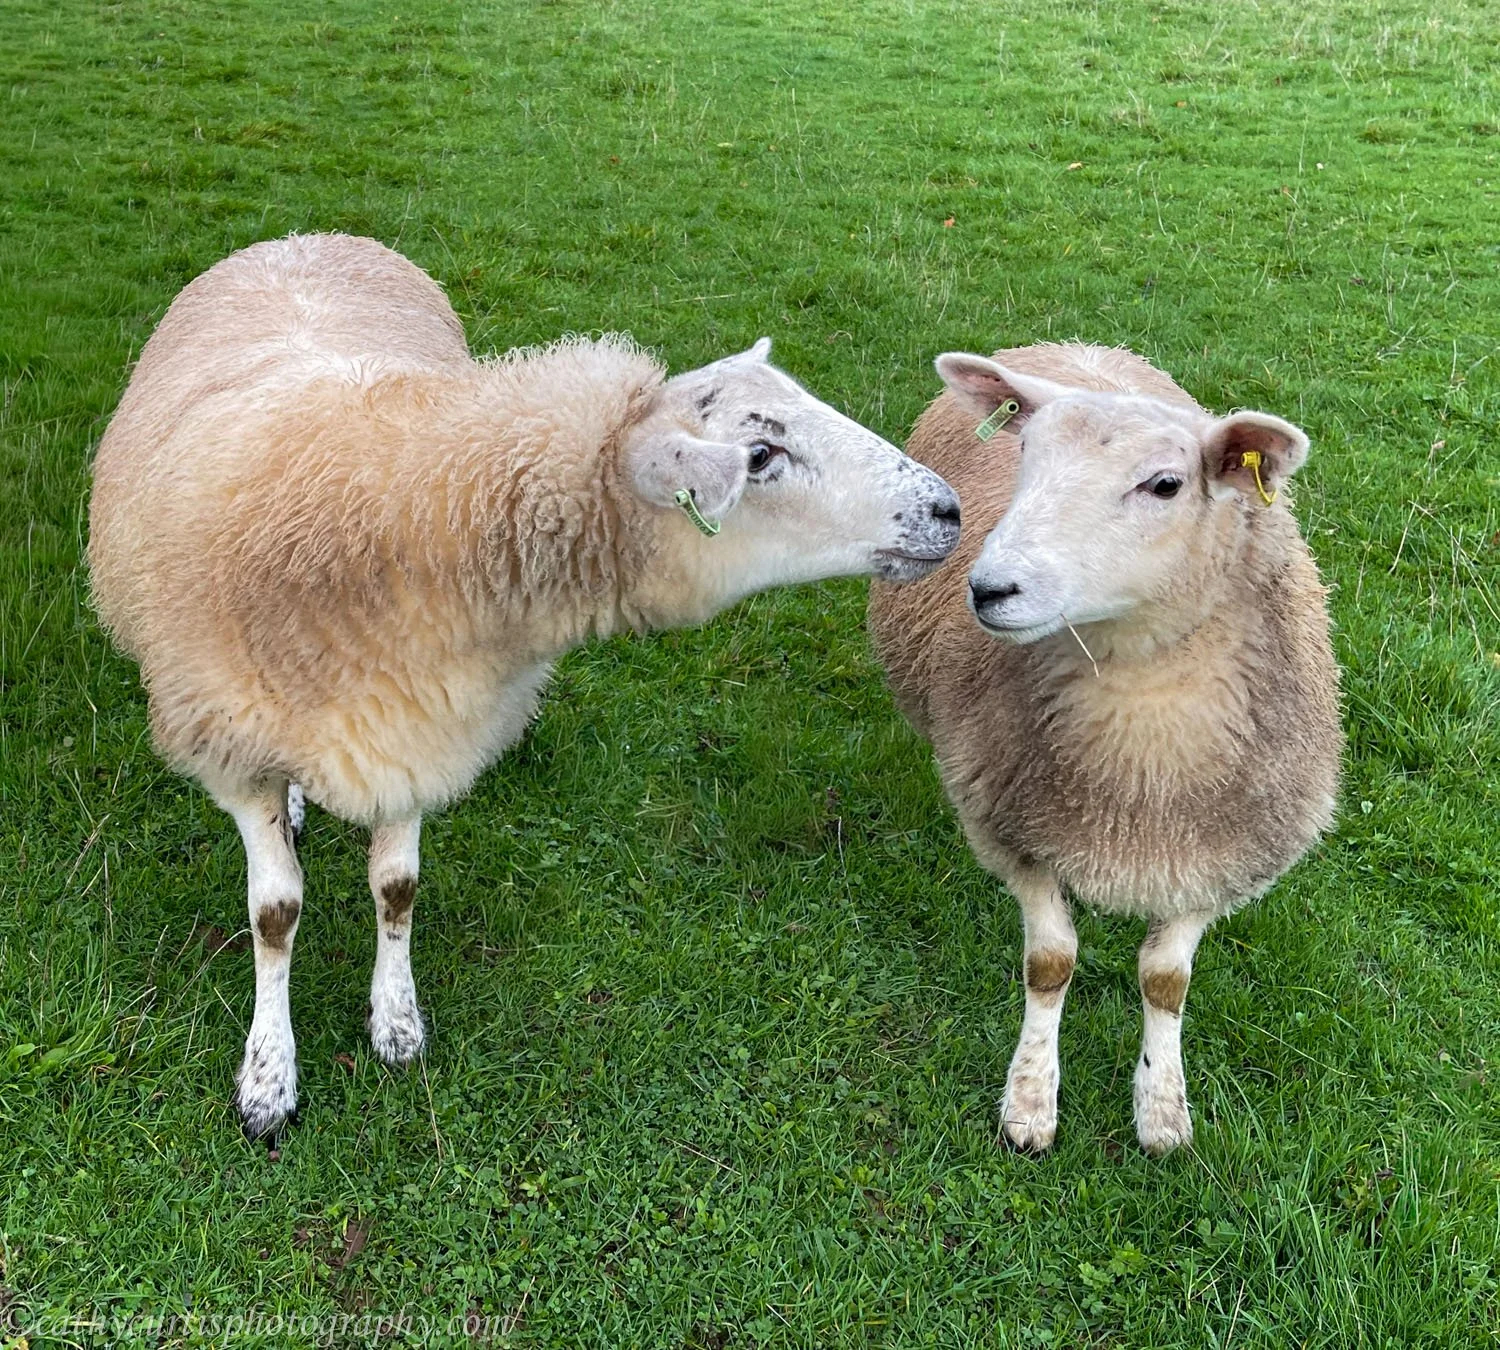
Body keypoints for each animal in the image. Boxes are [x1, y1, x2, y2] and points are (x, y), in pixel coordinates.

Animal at [89, 232, 962, 1140]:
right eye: (760, 456)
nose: (948, 509)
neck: (396, 521)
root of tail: (307, 237)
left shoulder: (422, 724)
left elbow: (396, 889)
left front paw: (396, 1024)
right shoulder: (231, 744)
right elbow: (275, 916)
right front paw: (268, 1076)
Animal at [868, 342, 1341, 1156]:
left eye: (1165, 484)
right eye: (1026, 454)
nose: (989, 589)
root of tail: (1074, 347)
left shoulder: (1216, 856)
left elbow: (1165, 982)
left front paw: (1163, 1109)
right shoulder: (1013, 829)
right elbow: (1050, 964)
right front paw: (1030, 1102)